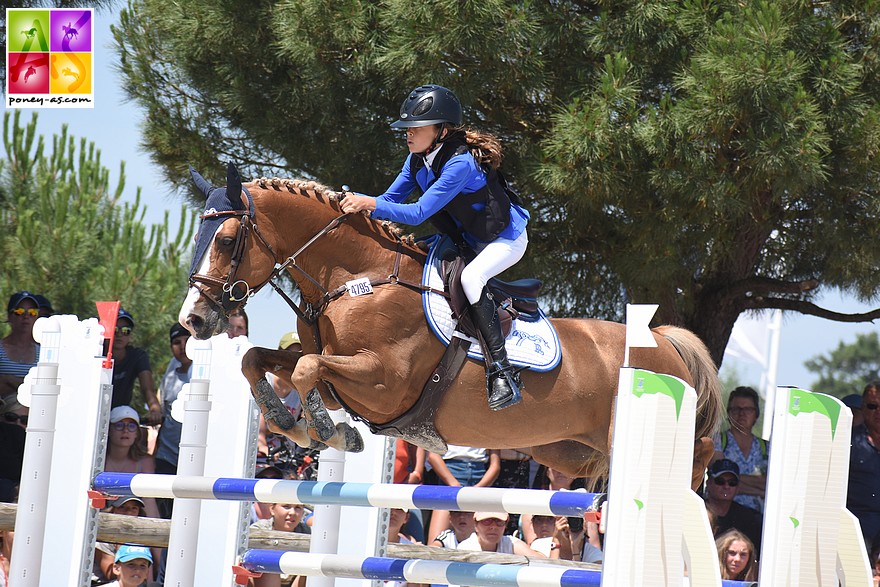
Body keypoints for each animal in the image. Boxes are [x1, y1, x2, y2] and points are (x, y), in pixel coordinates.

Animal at [180, 168, 720, 490]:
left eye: (227, 240)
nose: (194, 320)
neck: (353, 278)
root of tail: (666, 340)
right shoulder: (341, 377)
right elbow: (264, 360)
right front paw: (291, 422)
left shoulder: (386, 383)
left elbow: (308, 367)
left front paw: (333, 434)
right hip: (570, 450)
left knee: (705, 447)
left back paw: (694, 492)